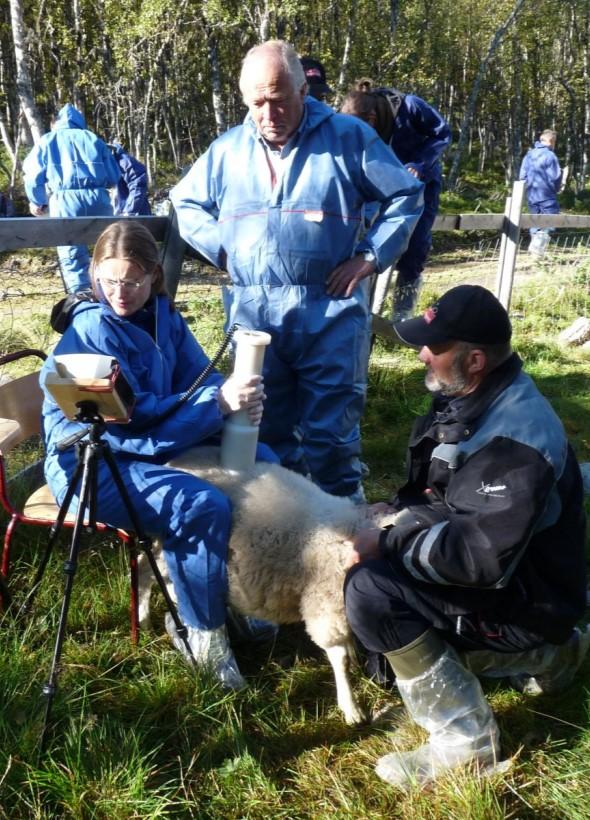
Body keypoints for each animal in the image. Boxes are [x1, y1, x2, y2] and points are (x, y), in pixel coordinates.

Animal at [139, 448, 398, 724]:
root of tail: (175, 461)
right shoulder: (325, 609)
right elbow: (341, 660)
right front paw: (351, 708)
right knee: (146, 568)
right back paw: (144, 620)